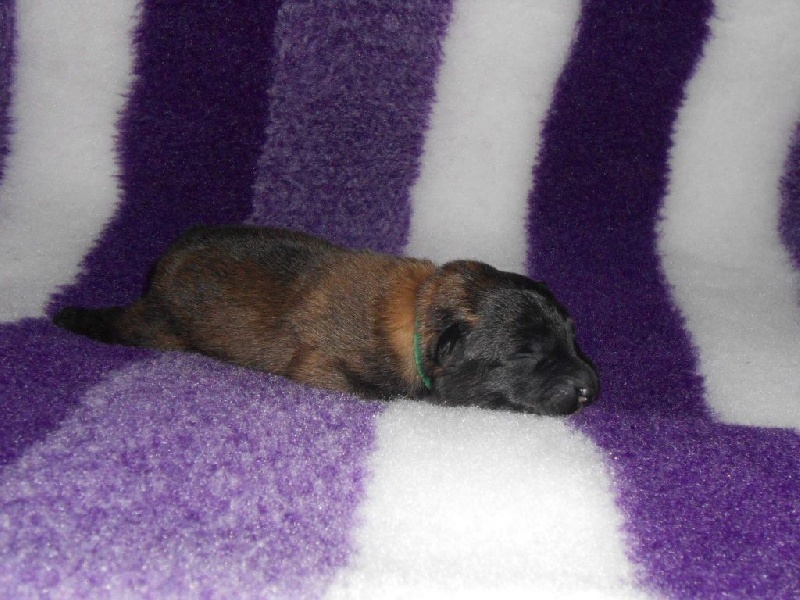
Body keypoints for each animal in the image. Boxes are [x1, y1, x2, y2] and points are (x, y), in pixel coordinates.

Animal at [53, 226, 599, 415]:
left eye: (573, 337)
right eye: (523, 352)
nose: (591, 387)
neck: (420, 311)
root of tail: (159, 273)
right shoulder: (322, 369)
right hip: (156, 328)